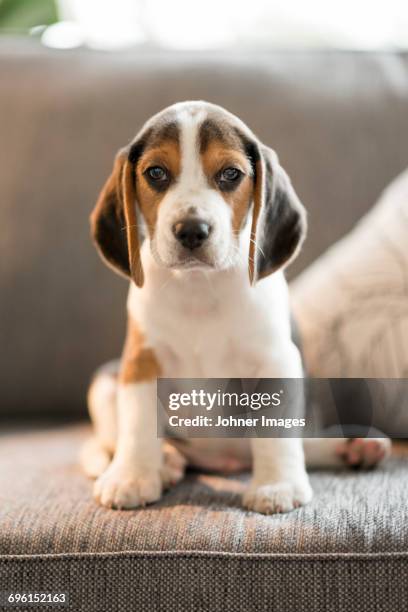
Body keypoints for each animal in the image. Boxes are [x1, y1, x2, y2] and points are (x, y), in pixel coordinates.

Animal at [81, 100, 390, 512]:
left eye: (230, 174)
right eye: (156, 173)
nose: (191, 230)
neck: (199, 287)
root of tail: (220, 459)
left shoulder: (275, 361)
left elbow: (276, 433)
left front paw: (276, 486)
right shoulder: (140, 360)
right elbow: (137, 421)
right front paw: (131, 477)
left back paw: (353, 448)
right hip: (103, 381)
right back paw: (166, 462)